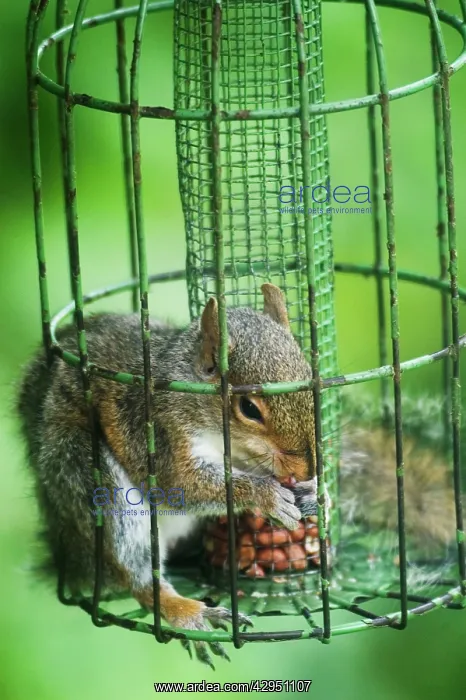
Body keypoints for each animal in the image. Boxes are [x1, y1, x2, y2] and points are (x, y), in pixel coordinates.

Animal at [17, 284, 456, 667]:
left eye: (311, 383)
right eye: (248, 408)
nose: (306, 469)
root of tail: (70, 558)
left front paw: (318, 493)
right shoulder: (157, 434)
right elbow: (183, 485)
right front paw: (264, 494)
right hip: (87, 477)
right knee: (135, 573)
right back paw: (187, 610)